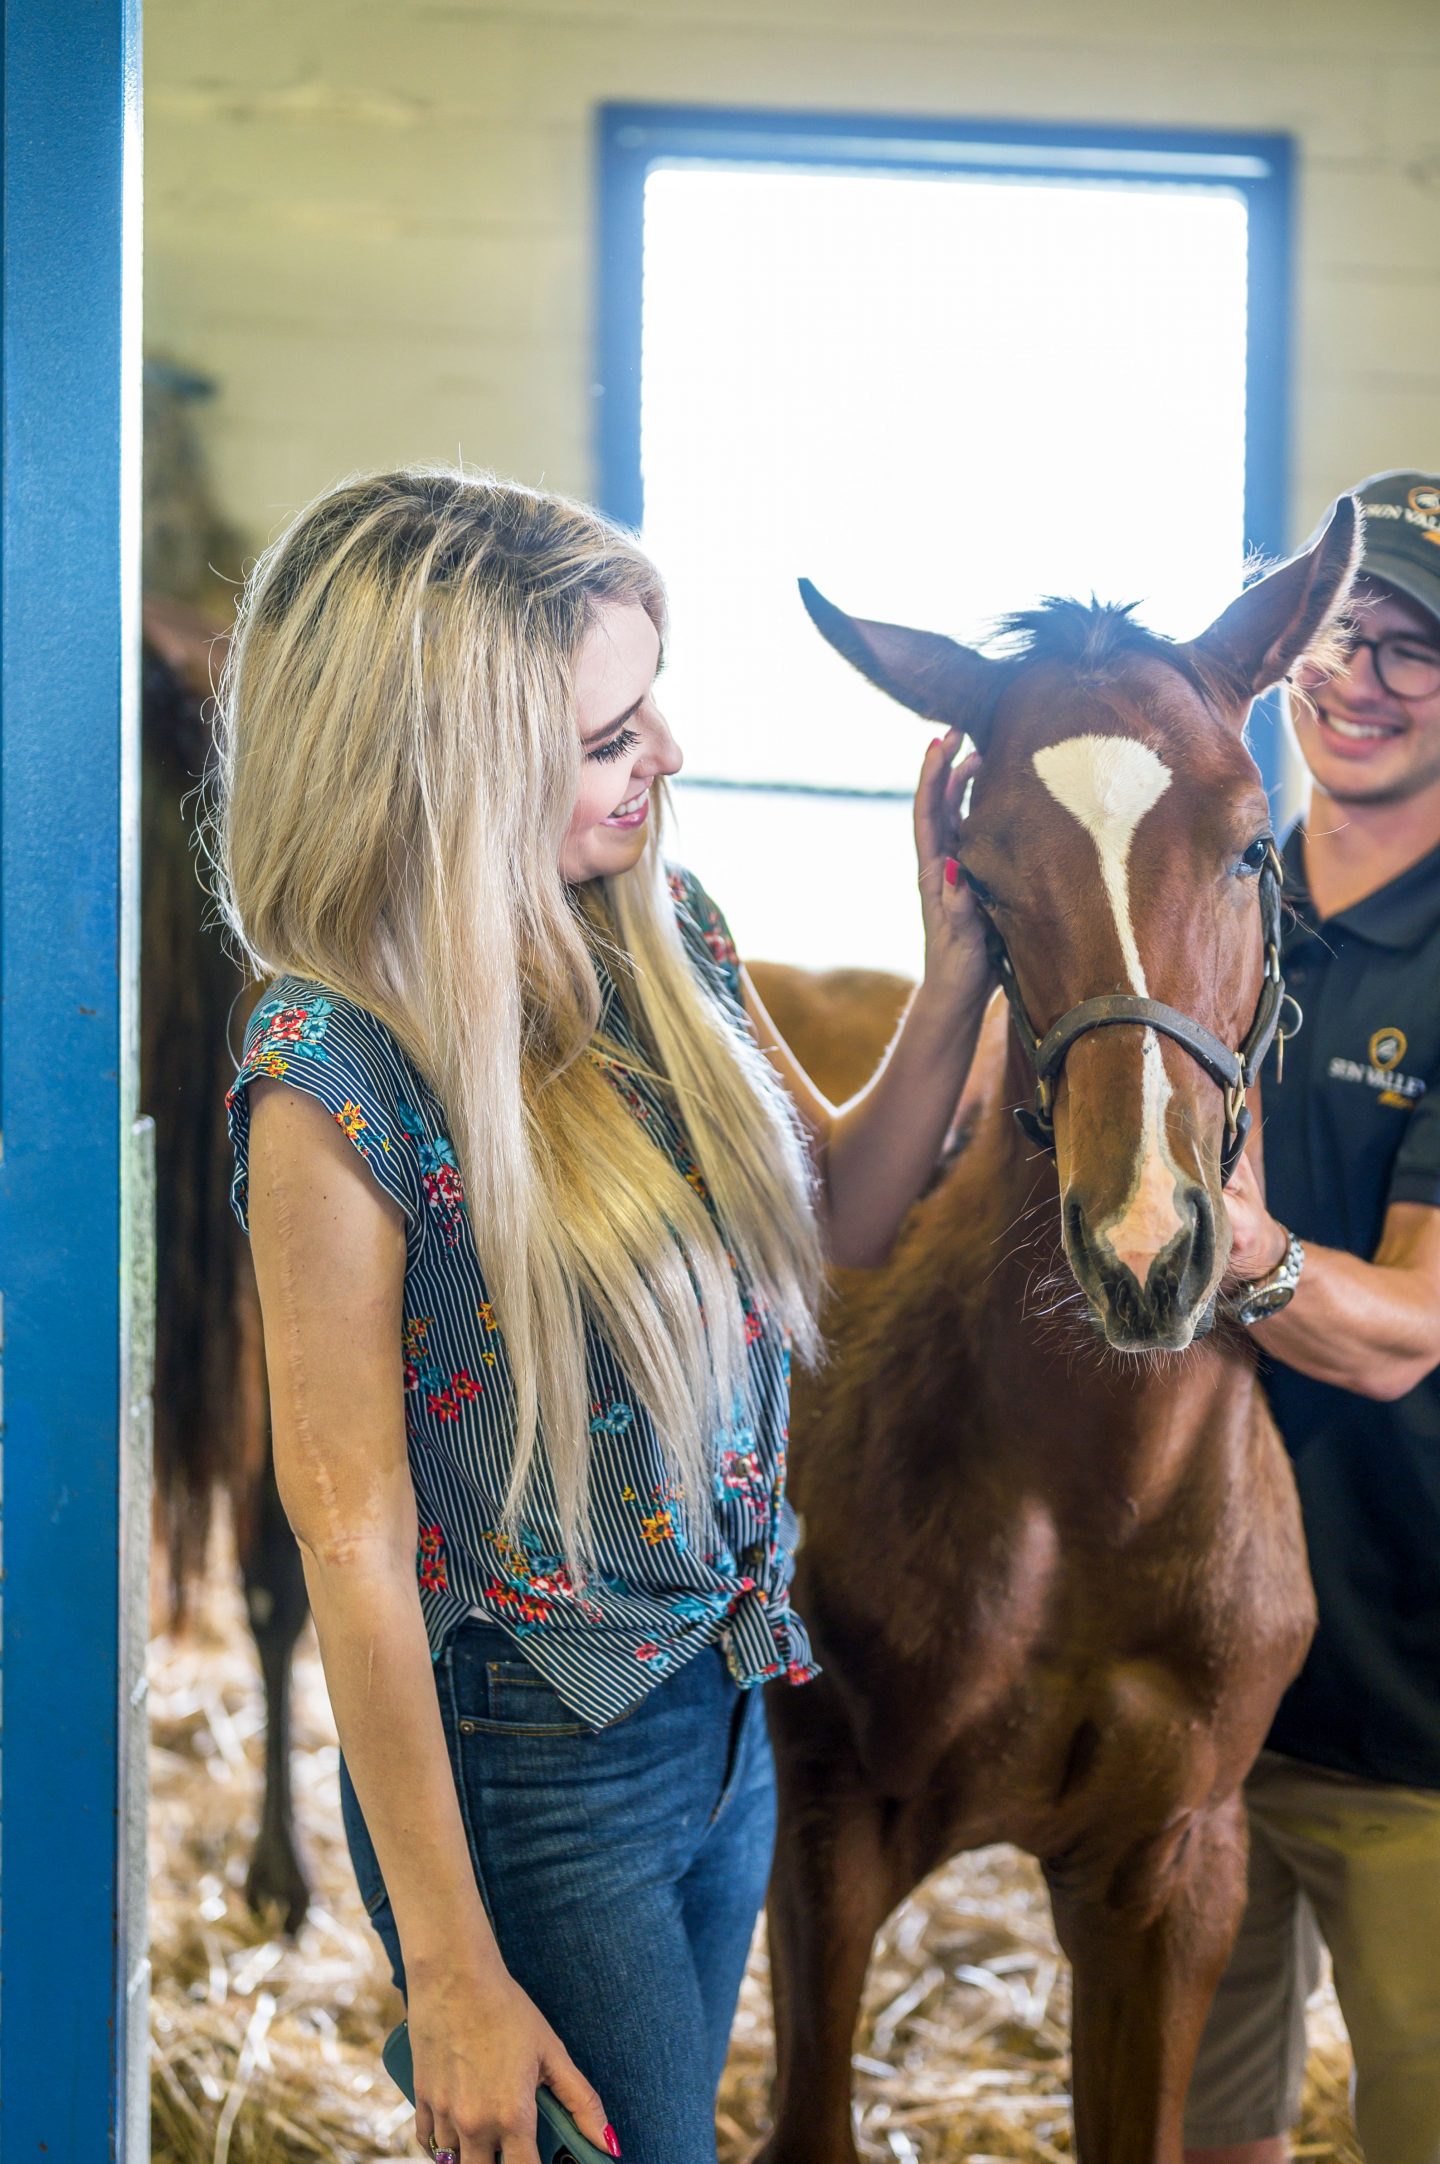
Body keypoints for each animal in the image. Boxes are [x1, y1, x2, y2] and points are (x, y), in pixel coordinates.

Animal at [753, 502, 1359, 2146]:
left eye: (1251, 846)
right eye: (979, 869)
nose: (1148, 1249)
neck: (1090, 1491)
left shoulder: (1173, 1874)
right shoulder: (826, 1832)